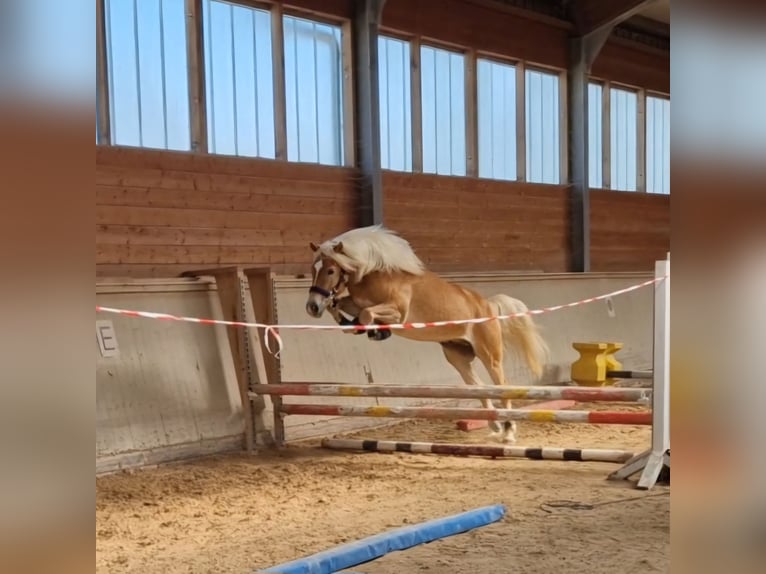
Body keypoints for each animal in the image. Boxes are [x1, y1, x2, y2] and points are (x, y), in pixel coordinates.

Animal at [304, 225, 548, 446]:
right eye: (313, 269)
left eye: (330, 271)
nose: (312, 307)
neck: (374, 274)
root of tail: (489, 305)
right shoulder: (356, 302)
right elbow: (342, 306)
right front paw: (354, 324)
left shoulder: (398, 312)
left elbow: (365, 314)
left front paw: (376, 331)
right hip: (457, 356)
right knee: (478, 385)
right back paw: (495, 424)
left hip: (490, 355)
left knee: (502, 385)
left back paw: (508, 432)